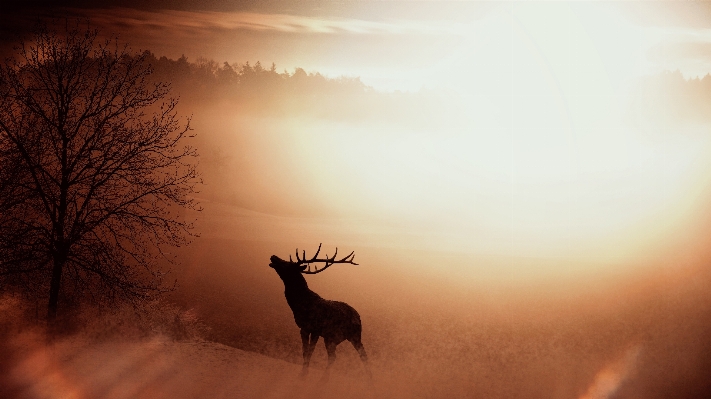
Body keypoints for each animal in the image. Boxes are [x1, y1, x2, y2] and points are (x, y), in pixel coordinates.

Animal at [268, 244, 372, 382]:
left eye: (289, 264)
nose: (273, 256)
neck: (299, 304)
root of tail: (359, 318)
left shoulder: (315, 328)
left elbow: (310, 351)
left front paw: (303, 375)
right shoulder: (303, 328)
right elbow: (304, 351)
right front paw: (303, 373)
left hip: (353, 335)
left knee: (361, 355)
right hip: (332, 338)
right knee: (334, 356)